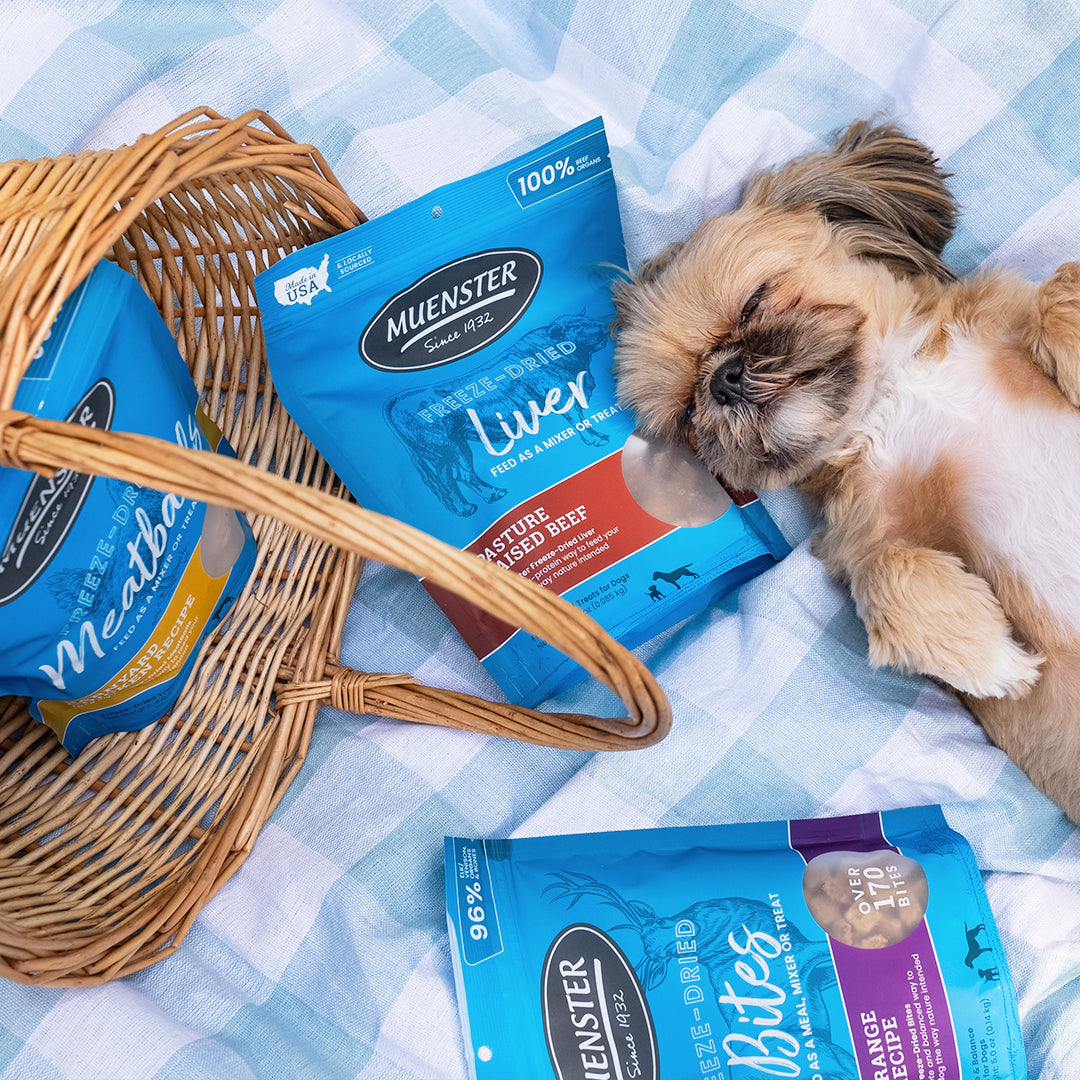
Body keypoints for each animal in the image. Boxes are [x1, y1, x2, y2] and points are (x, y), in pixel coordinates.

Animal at [613, 118, 1080, 820]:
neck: (892, 397)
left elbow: (1056, 293)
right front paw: (991, 655)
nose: (722, 378)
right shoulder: (869, 537)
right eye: (687, 414)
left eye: (753, 303)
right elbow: (891, 573)